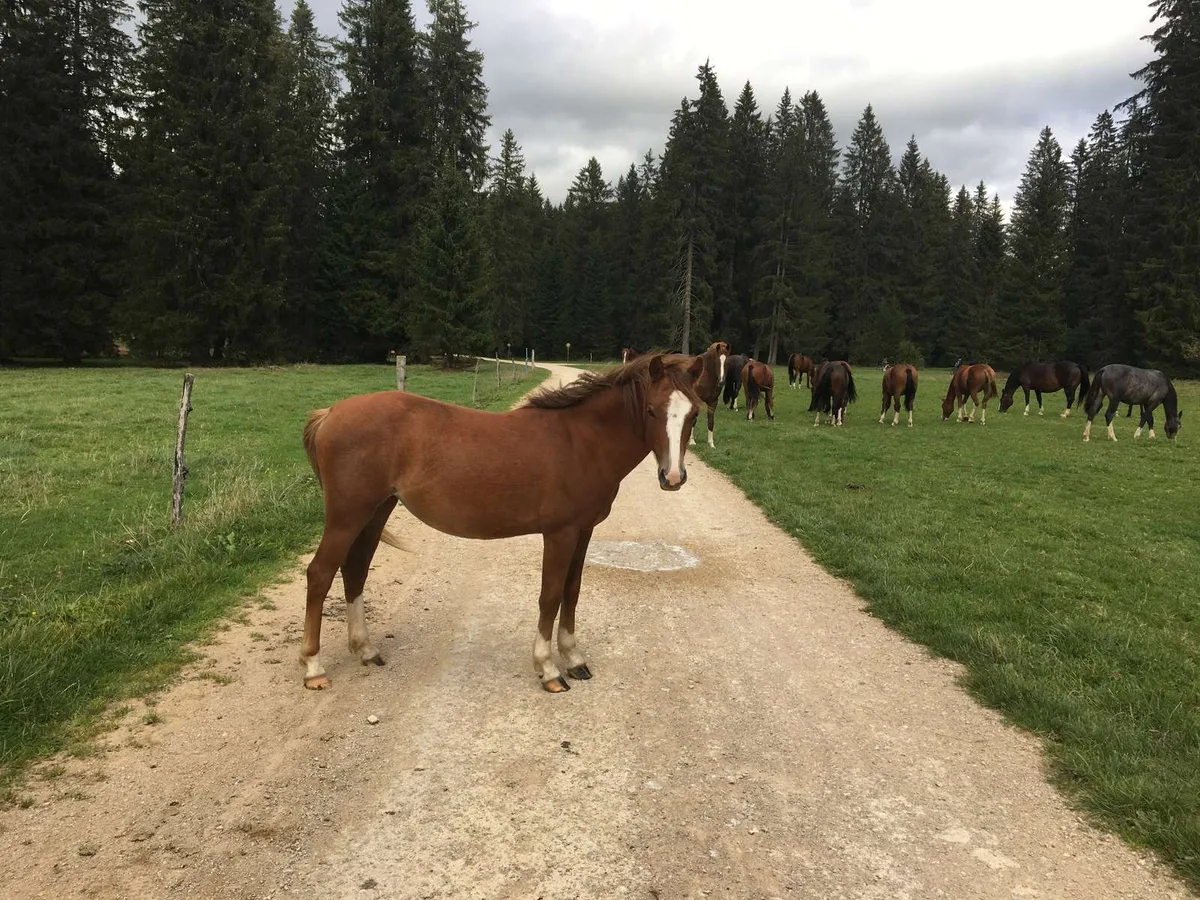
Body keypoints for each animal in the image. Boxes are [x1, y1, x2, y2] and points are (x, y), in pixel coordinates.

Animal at [299, 353, 706, 694]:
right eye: (651, 411)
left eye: (693, 415)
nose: (672, 477)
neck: (582, 442)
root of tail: (330, 412)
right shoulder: (560, 534)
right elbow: (550, 595)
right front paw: (548, 669)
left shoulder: (584, 531)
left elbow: (572, 592)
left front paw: (574, 659)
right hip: (347, 516)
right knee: (320, 574)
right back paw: (314, 668)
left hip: (375, 512)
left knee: (355, 570)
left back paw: (366, 650)